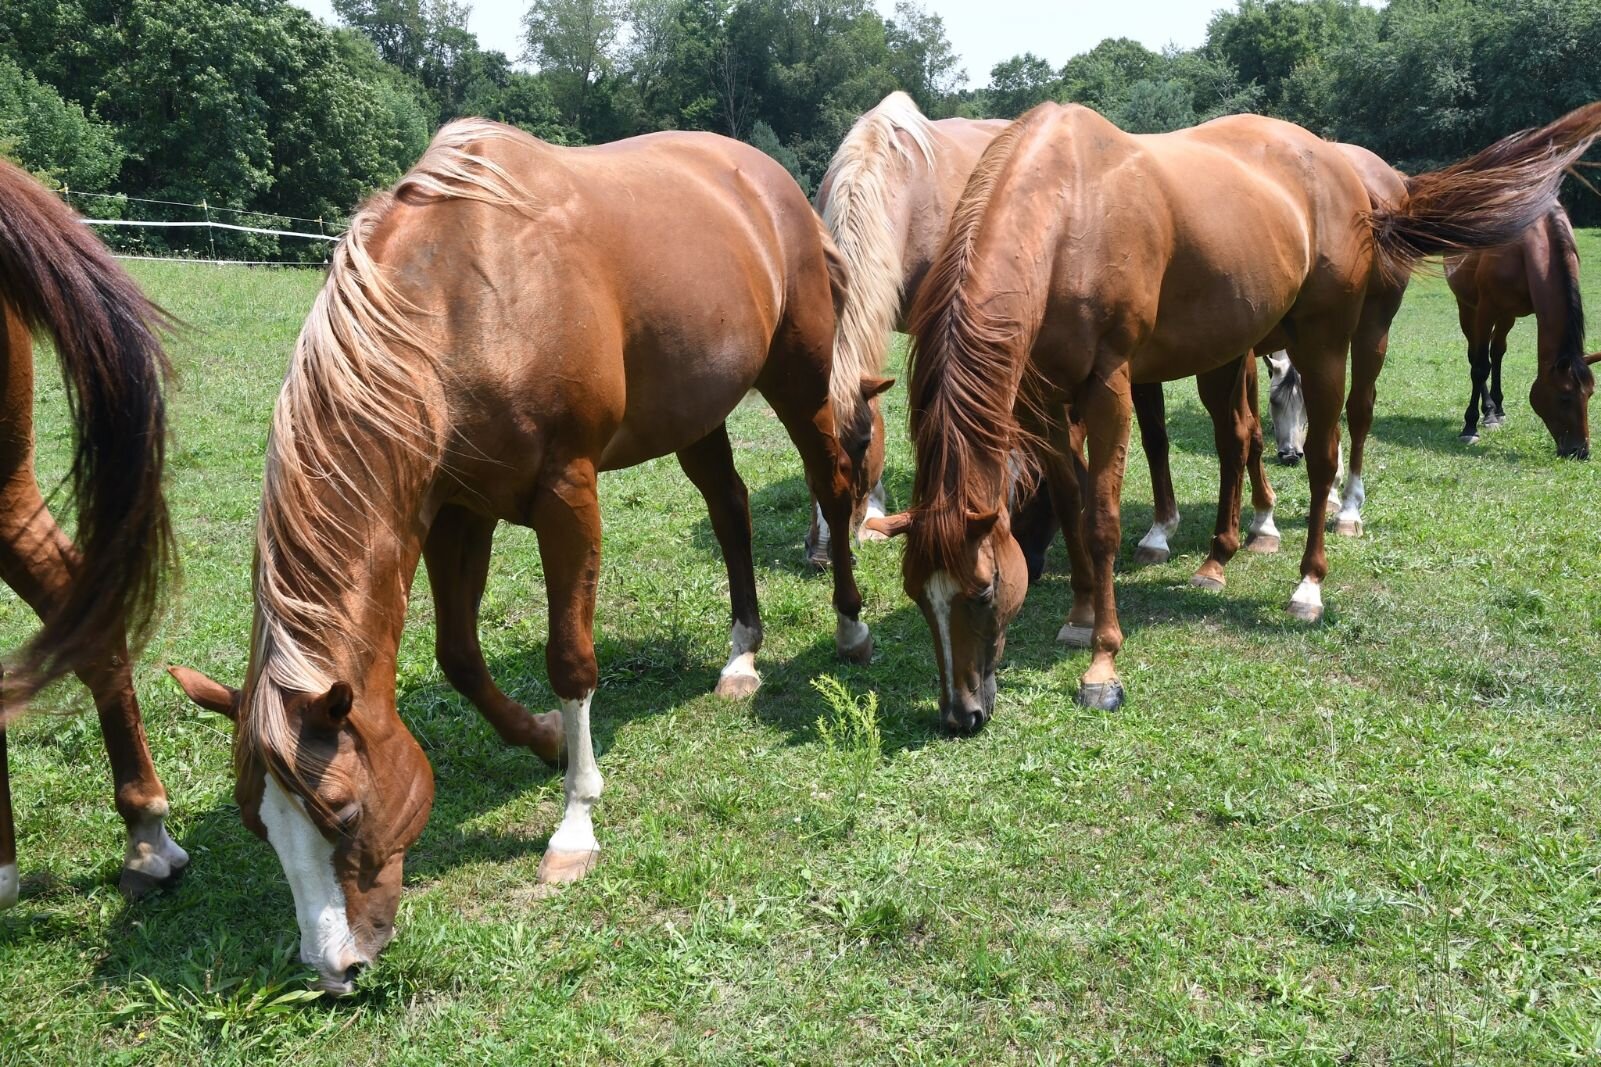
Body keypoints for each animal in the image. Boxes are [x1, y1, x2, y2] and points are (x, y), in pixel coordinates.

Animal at [172, 120, 877, 993]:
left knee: (832, 483)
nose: (334, 966)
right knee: (729, 509)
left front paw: (574, 823)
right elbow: (458, 655)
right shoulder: (455, 510)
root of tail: (773, 183)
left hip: (798, 376)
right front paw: (544, 740)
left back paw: (850, 627)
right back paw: (740, 655)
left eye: (343, 811)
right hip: (697, 408)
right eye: (256, 821)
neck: (461, 299)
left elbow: (569, 658)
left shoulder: (565, 494)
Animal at [1447, 205, 1594, 454]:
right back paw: (1487, 411)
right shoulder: (1485, 309)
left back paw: (1496, 410)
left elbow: (1493, 357)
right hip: (1468, 307)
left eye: (1591, 394)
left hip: (1507, 316)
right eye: (1565, 397)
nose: (1580, 451)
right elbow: (1479, 368)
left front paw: (1493, 412)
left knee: (1496, 353)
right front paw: (1469, 426)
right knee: (1476, 356)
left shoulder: (1507, 311)